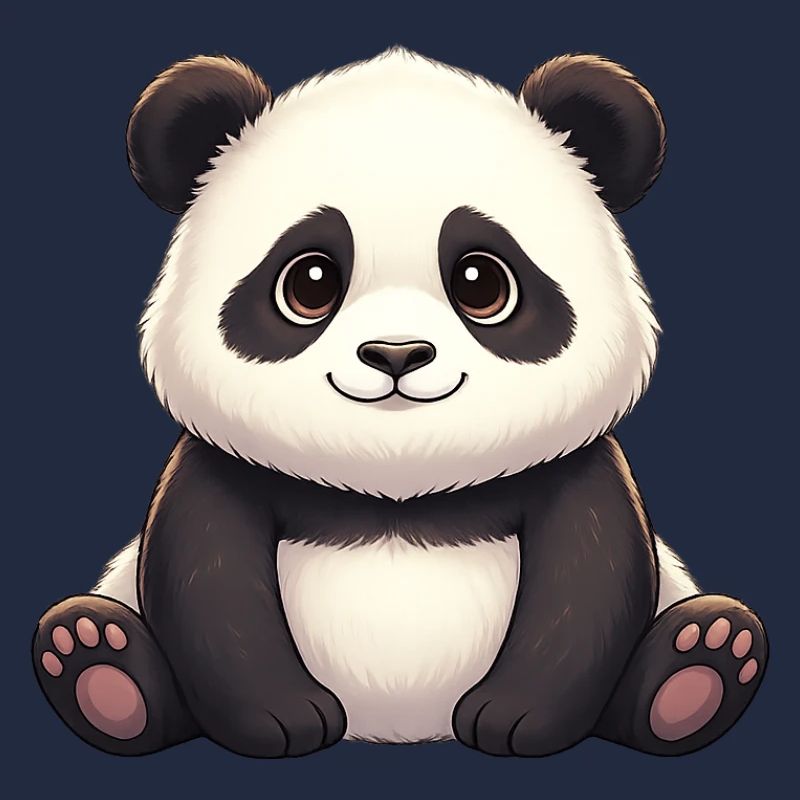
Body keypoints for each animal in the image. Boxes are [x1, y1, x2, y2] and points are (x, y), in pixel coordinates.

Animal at [33, 47, 767, 758]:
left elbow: (590, 581)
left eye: (482, 282)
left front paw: (515, 719)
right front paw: (282, 719)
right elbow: (206, 581)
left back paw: (699, 667)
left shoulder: (576, 465)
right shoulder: (219, 463)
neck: (398, 479)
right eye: (309, 282)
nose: (396, 354)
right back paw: (100, 667)